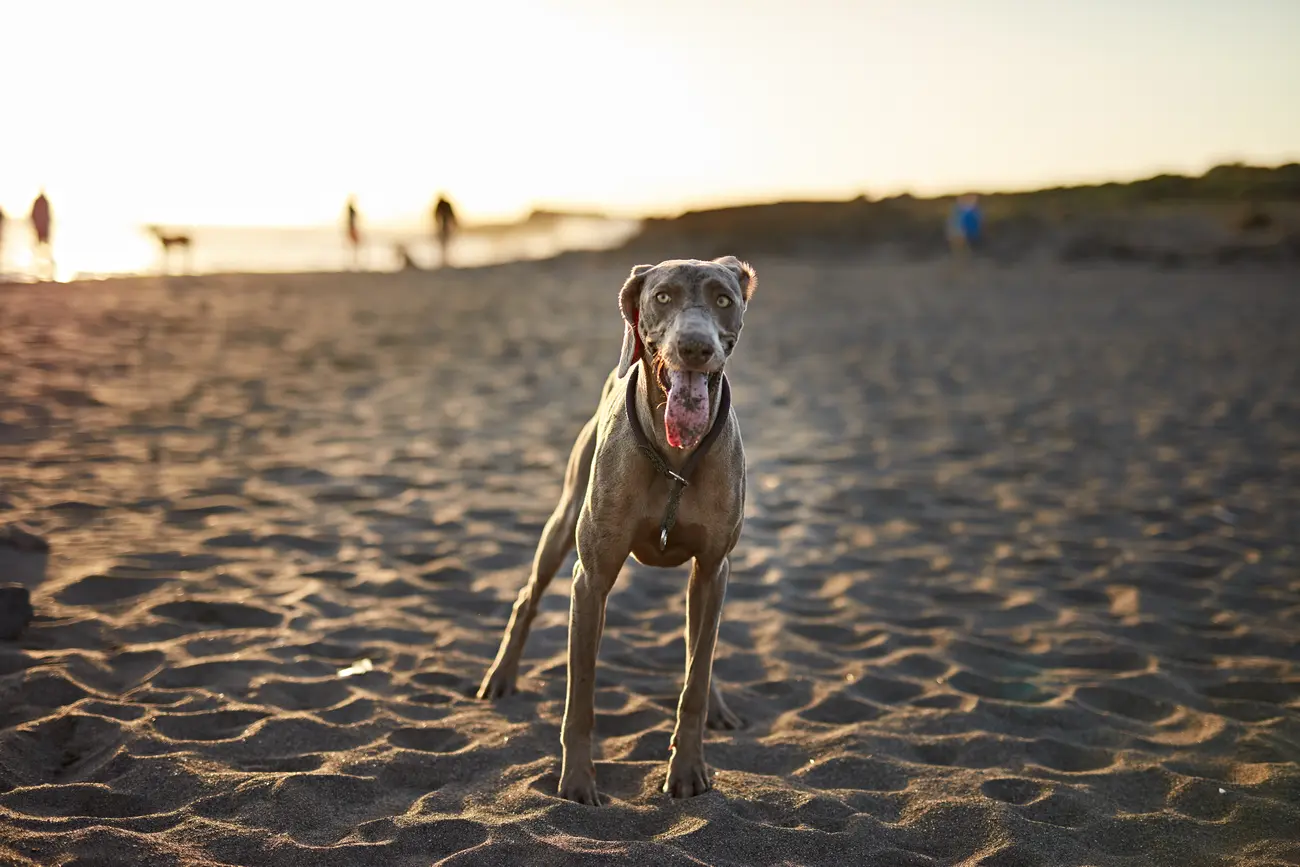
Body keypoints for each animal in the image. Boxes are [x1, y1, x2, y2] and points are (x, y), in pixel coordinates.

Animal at [483, 254, 759, 805]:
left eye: (723, 299)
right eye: (662, 296)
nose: (695, 348)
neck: (675, 459)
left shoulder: (713, 567)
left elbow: (696, 674)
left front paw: (687, 769)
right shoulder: (590, 581)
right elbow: (581, 695)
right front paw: (577, 782)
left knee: (700, 645)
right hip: (564, 519)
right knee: (528, 595)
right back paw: (501, 676)